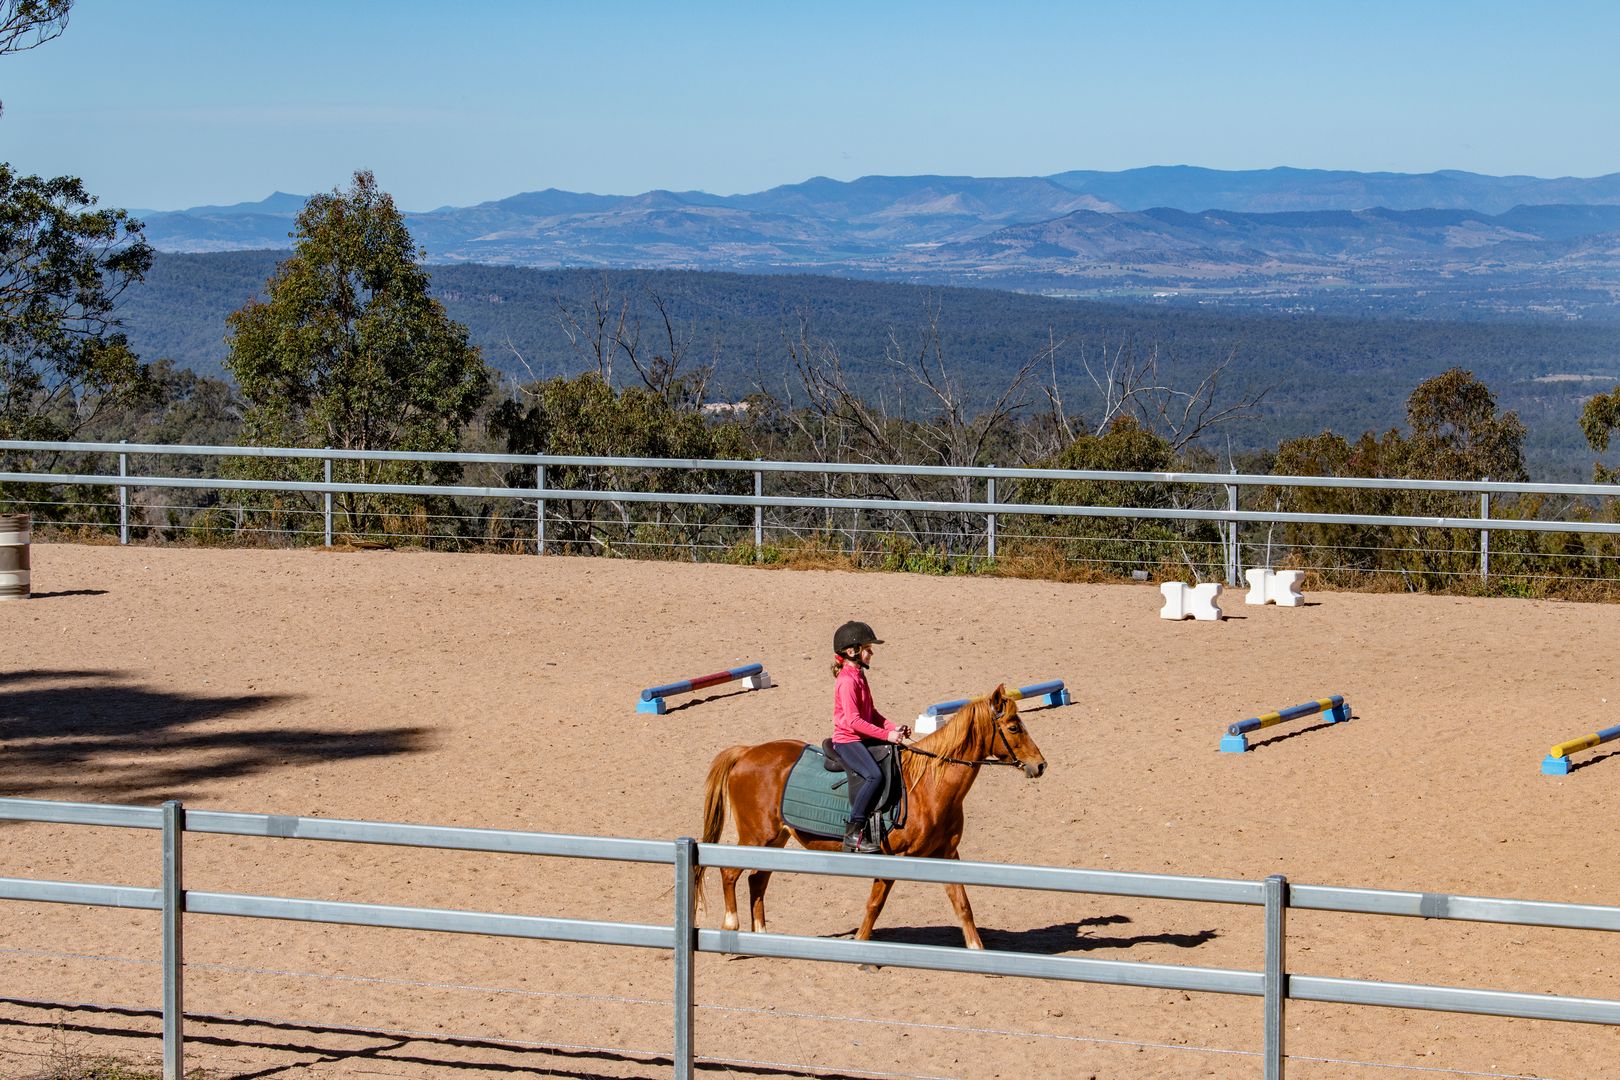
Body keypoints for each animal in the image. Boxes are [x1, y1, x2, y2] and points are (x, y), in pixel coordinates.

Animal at [696, 689, 1049, 952]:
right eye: (1014, 727)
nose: (1040, 764)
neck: (928, 786)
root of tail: (746, 752)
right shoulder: (891, 858)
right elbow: (874, 905)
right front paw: (861, 949)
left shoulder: (948, 854)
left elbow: (963, 904)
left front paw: (977, 951)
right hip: (757, 836)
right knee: (730, 873)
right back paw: (732, 926)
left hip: (774, 840)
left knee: (757, 880)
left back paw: (761, 935)